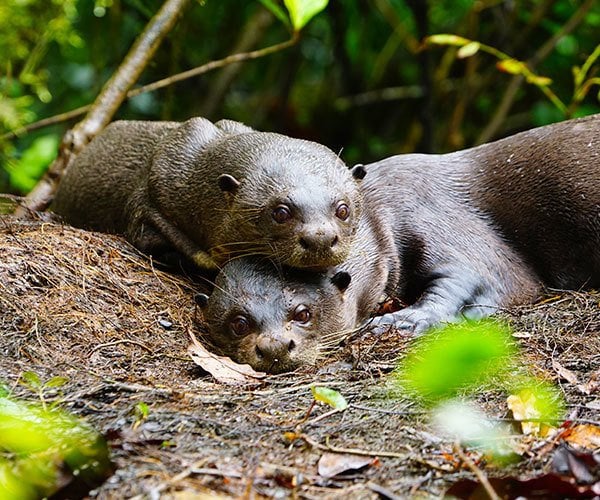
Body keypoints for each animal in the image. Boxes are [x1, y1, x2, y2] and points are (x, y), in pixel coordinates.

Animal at [198, 113, 600, 372]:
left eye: (302, 312)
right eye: (238, 323)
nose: (275, 345)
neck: (382, 206)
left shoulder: (432, 213)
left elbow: (476, 276)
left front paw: (404, 320)